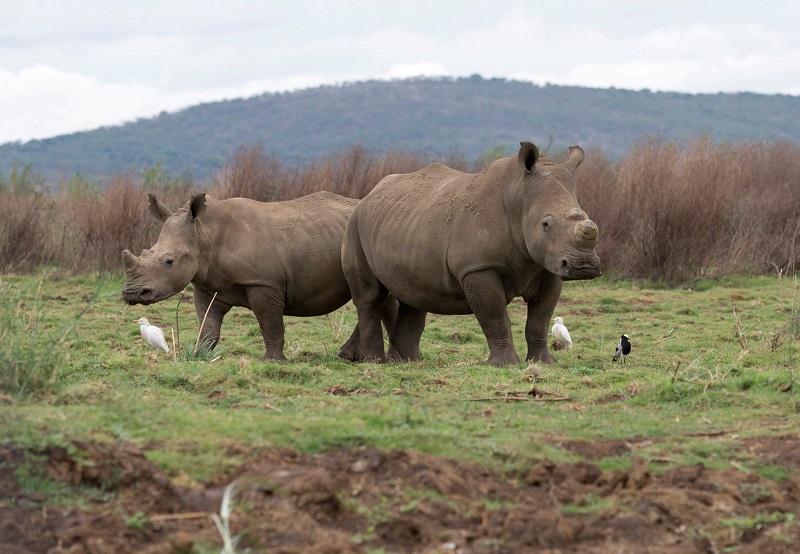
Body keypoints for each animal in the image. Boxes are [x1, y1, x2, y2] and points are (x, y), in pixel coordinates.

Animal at [122, 191, 394, 360]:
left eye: (169, 261)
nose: (131, 293)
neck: (204, 233)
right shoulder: (207, 284)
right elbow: (207, 323)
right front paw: (200, 354)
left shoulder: (264, 284)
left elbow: (269, 323)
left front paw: (272, 360)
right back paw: (348, 356)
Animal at [340, 142, 601, 367]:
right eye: (545, 224)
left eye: (589, 217)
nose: (584, 266)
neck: (519, 198)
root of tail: (369, 194)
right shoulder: (478, 267)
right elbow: (495, 317)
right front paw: (505, 364)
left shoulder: (550, 266)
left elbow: (540, 320)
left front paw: (544, 362)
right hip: (354, 225)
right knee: (370, 296)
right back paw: (376, 362)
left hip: (403, 222)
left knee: (413, 294)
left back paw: (410, 362)